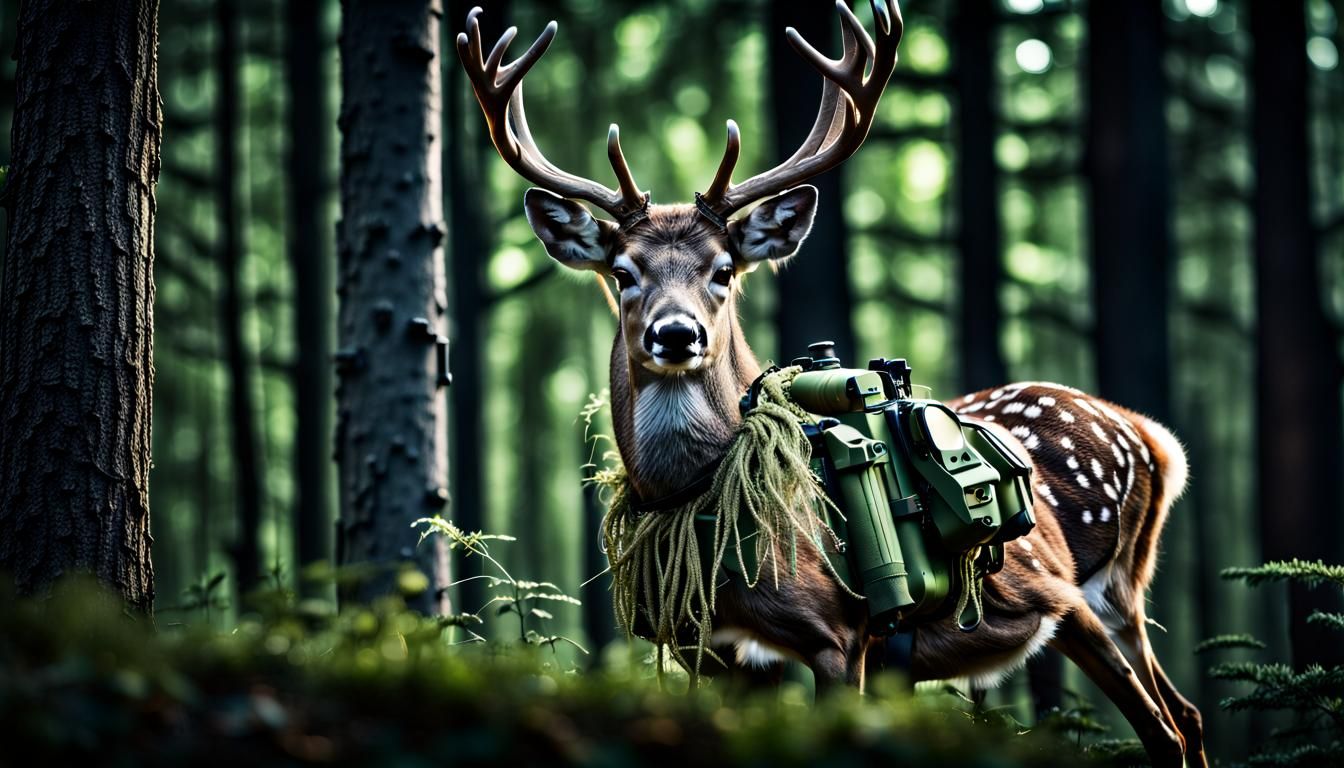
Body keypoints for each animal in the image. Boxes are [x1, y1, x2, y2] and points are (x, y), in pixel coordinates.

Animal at [457, 3, 1205, 766]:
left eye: (723, 268)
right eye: (623, 271)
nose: (676, 334)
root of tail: (1150, 437)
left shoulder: (840, 634)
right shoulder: (715, 652)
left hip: (1092, 593)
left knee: (1165, 724)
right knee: (1186, 712)